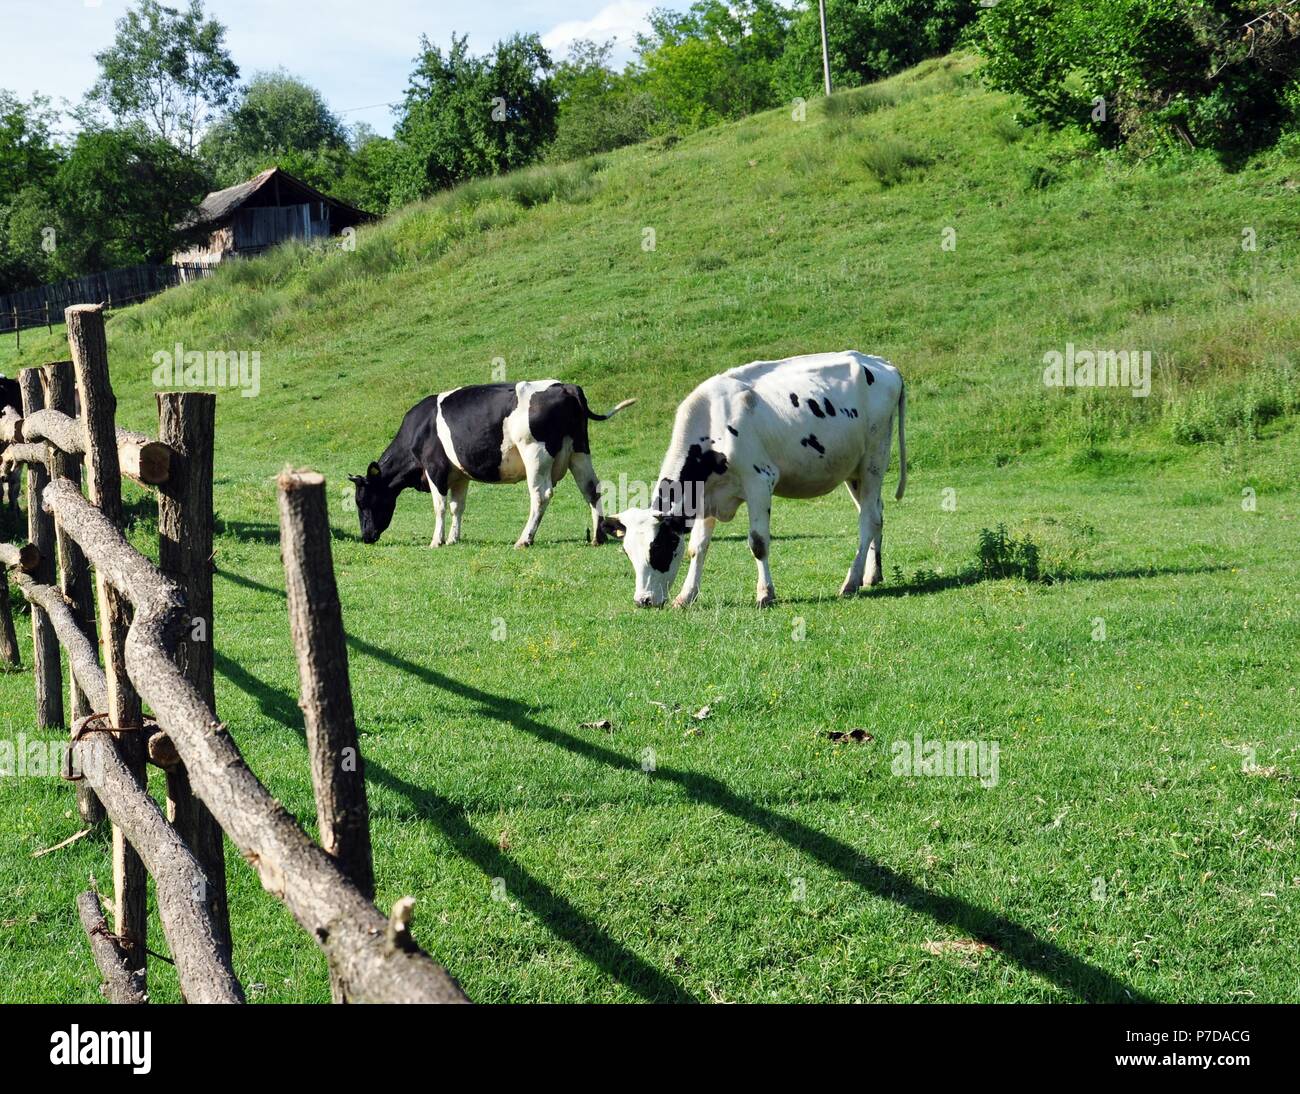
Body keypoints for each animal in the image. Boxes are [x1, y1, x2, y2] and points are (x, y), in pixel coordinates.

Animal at [351, 379, 634, 545]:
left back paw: (524, 539)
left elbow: (440, 506)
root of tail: (564, 386)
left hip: (535, 454)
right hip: (579, 451)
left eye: (362, 501)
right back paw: (597, 537)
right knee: (591, 489)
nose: (366, 537)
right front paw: (453, 539)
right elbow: (457, 506)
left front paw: (436, 541)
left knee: (541, 495)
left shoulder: (435, 469)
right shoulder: (459, 474)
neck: (419, 429)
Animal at [598, 350, 904, 605]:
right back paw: (871, 575)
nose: (643, 600)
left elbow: (758, 542)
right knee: (876, 512)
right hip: (853, 471)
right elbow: (697, 547)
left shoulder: (760, 482)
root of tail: (881, 363)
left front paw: (765, 593)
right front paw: (686, 596)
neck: (713, 424)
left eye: (659, 547)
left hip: (874, 460)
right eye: (628, 553)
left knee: (868, 519)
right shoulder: (706, 496)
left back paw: (850, 582)